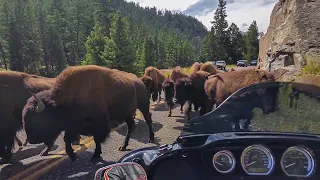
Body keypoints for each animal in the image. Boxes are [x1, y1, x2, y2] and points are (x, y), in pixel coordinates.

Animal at [21, 65, 154, 162]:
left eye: (36, 119)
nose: (30, 140)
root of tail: (139, 81)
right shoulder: (73, 126)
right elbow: (67, 139)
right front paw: (72, 156)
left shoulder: (98, 124)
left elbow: (97, 139)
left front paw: (95, 155)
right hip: (127, 113)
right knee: (131, 126)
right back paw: (123, 146)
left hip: (143, 105)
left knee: (148, 120)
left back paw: (150, 139)